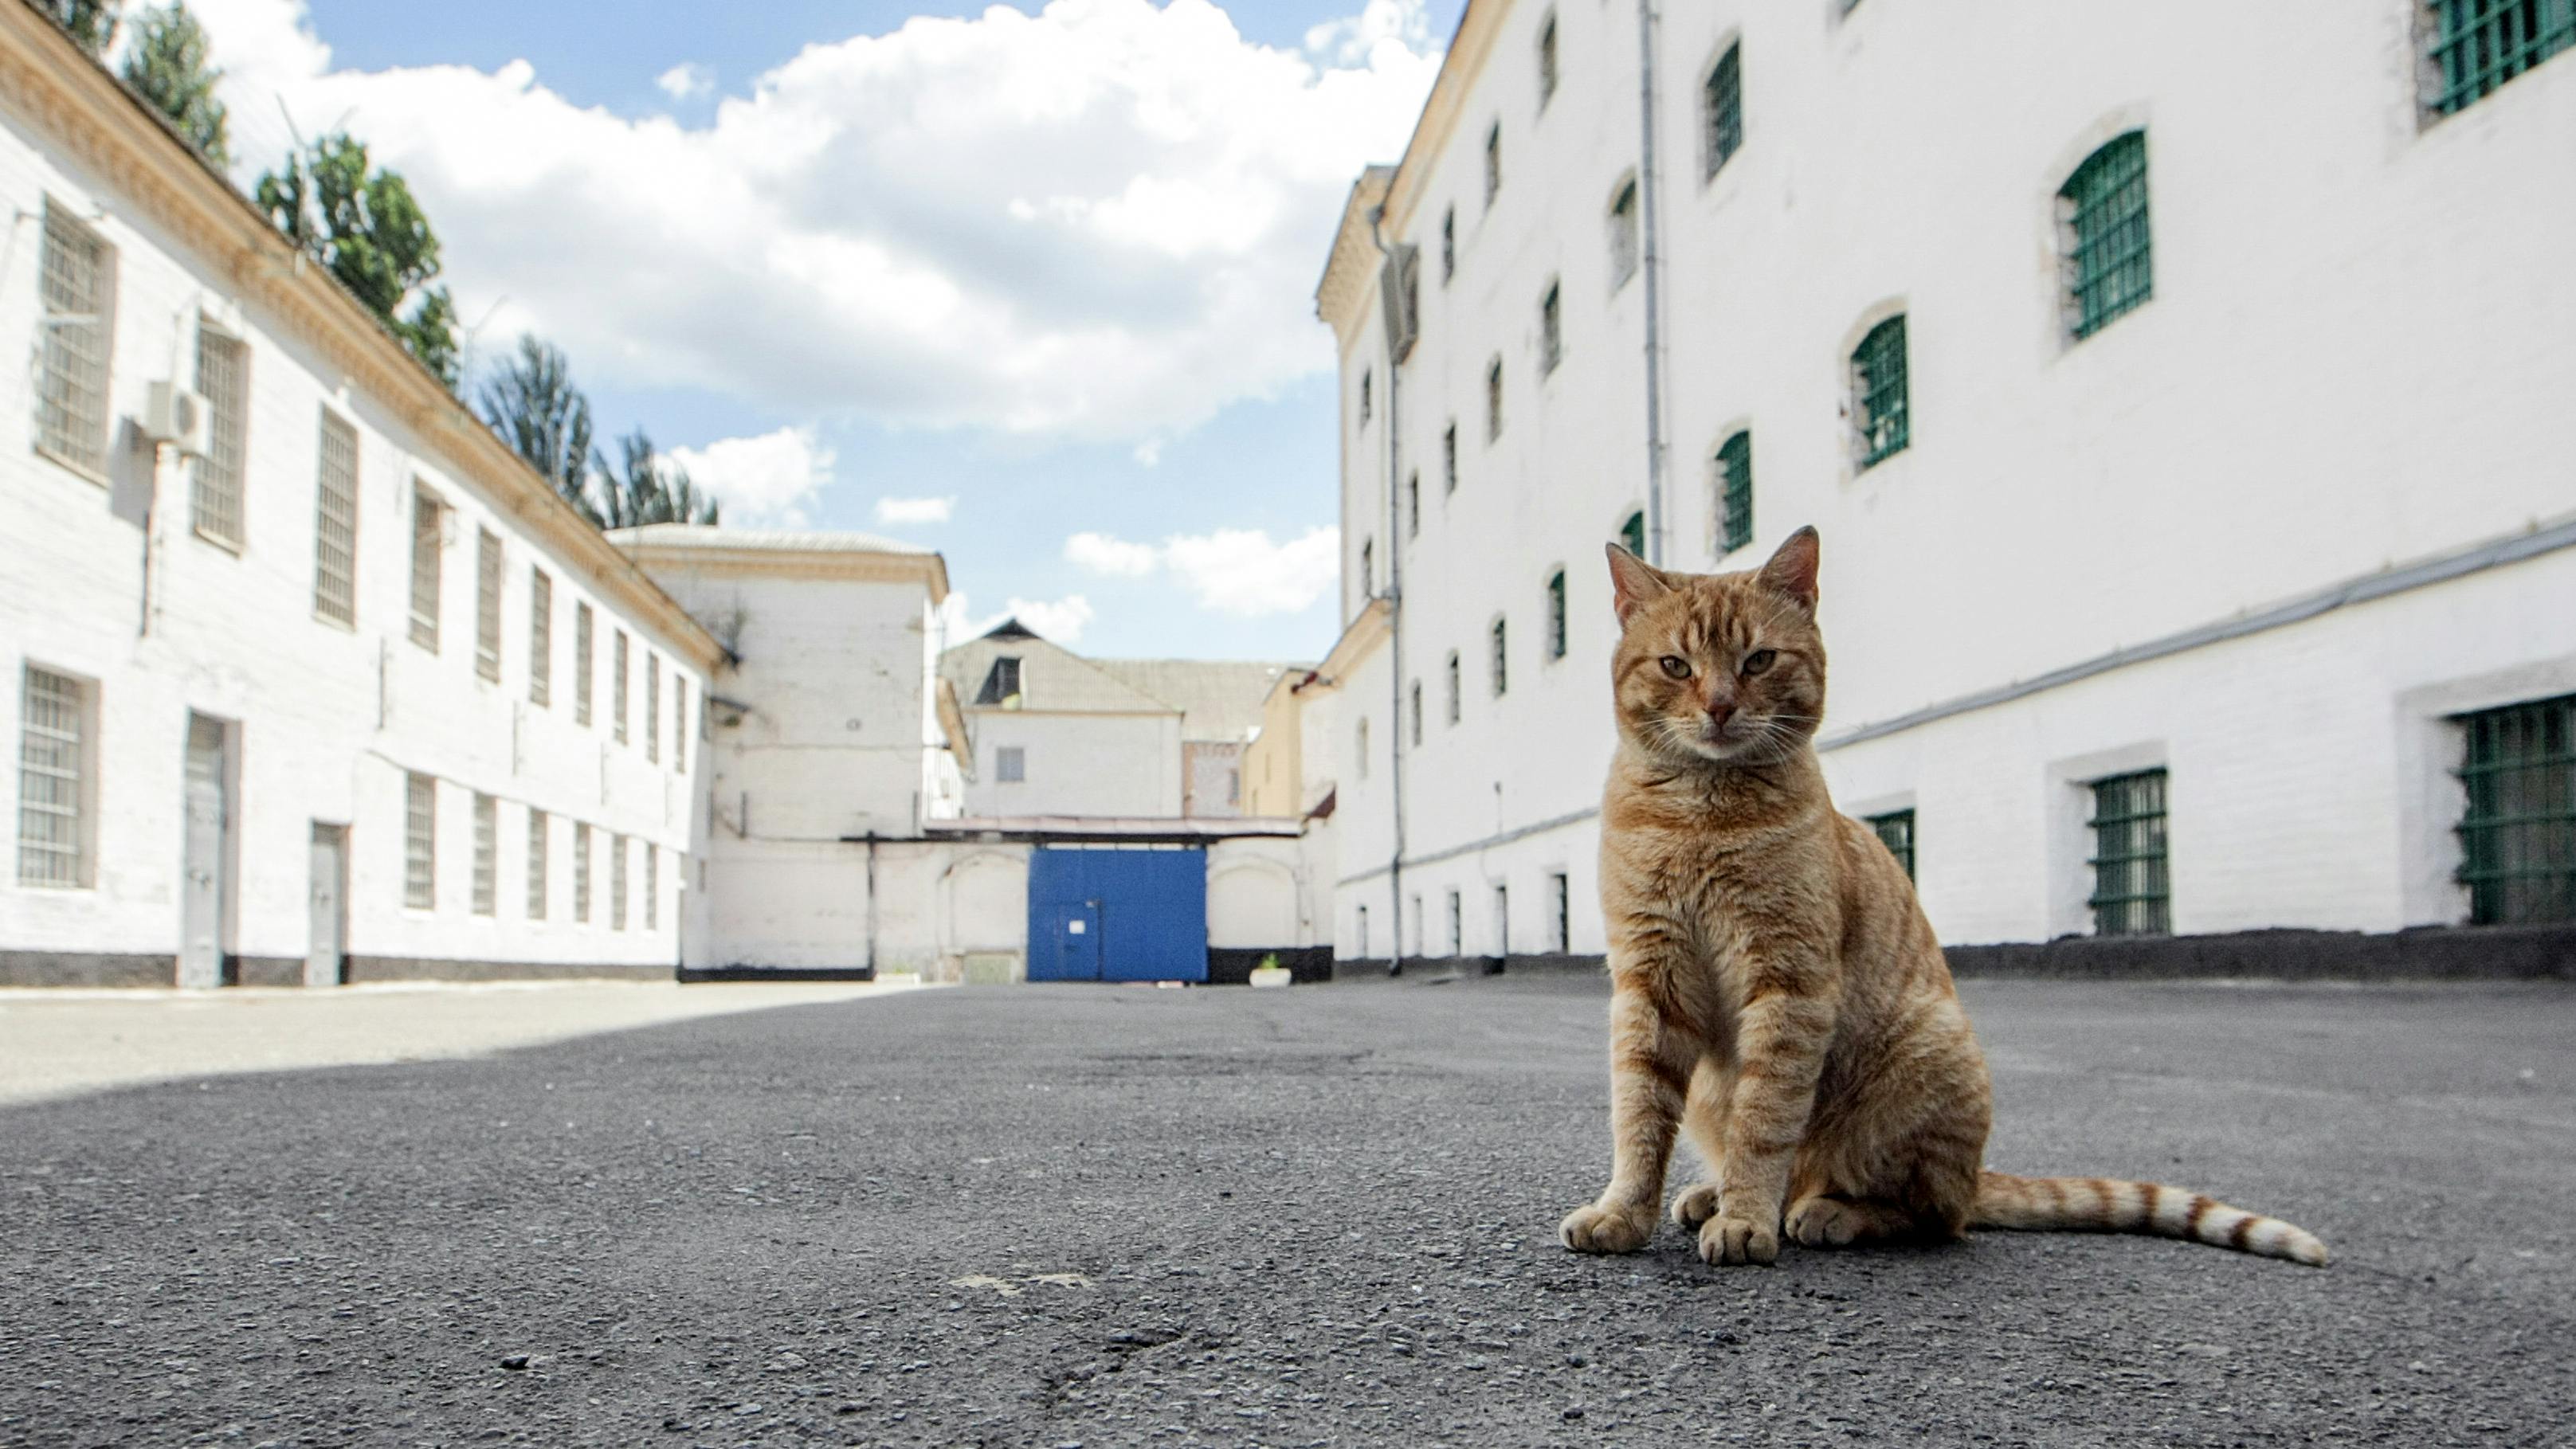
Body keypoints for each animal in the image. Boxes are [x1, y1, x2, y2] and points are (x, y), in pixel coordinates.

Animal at [1555, 530, 2328, 1271]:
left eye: (1758, 661)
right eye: (1675, 666)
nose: (1718, 705)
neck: (1699, 813)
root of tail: (1976, 1173)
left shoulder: (1788, 984)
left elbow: (1763, 1120)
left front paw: (1746, 1217)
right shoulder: (1649, 983)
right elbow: (1639, 1115)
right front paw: (1625, 1212)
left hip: (1926, 1060)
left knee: (1930, 1213)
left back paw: (1823, 1210)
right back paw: (1711, 1193)